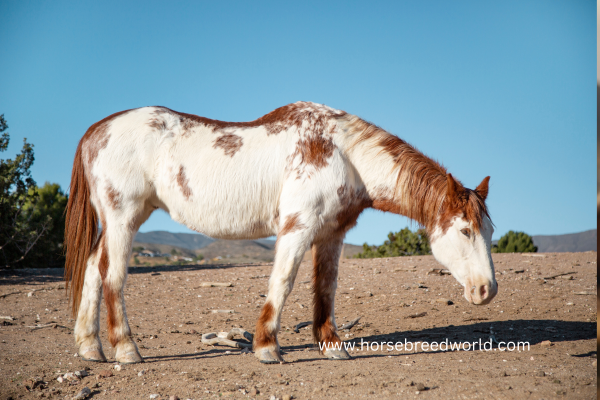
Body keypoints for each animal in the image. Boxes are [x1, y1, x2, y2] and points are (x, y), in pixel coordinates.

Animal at [65, 101, 496, 366]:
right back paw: (126, 350)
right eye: (464, 230)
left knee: (92, 270)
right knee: (113, 277)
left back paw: (90, 347)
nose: (486, 290)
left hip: (118, 221)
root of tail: (96, 130)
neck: (343, 153)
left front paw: (332, 346)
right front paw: (268, 347)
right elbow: (283, 282)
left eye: (489, 231)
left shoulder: (332, 234)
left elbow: (325, 288)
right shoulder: (297, 227)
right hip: (123, 219)